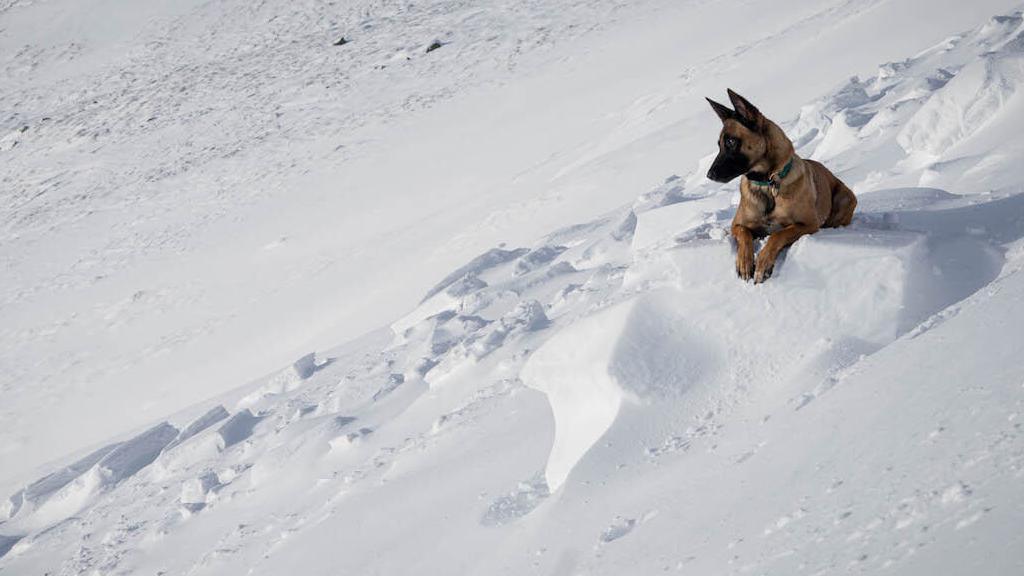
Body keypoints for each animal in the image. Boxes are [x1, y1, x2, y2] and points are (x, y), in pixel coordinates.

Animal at [704, 89, 856, 282]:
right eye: (719, 145)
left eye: (731, 142)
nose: (709, 175)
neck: (767, 184)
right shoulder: (737, 225)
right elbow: (744, 234)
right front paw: (745, 263)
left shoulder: (808, 224)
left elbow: (778, 234)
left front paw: (762, 264)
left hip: (845, 198)